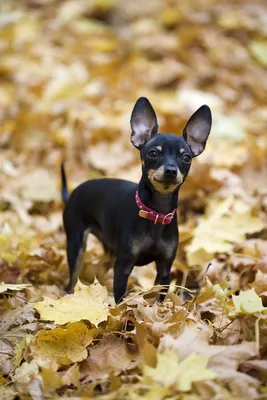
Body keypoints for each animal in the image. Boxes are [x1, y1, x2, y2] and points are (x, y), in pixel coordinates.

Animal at [61, 97, 213, 304]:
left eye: (186, 157)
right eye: (153, 153)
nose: (171, 170)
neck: (156, 212)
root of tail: (72, 193)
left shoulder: (165, 270)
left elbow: (158, 298)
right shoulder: (123, 266)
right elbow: (120, 301)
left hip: (108, 247)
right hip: (76, 243)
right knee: (72, 278)